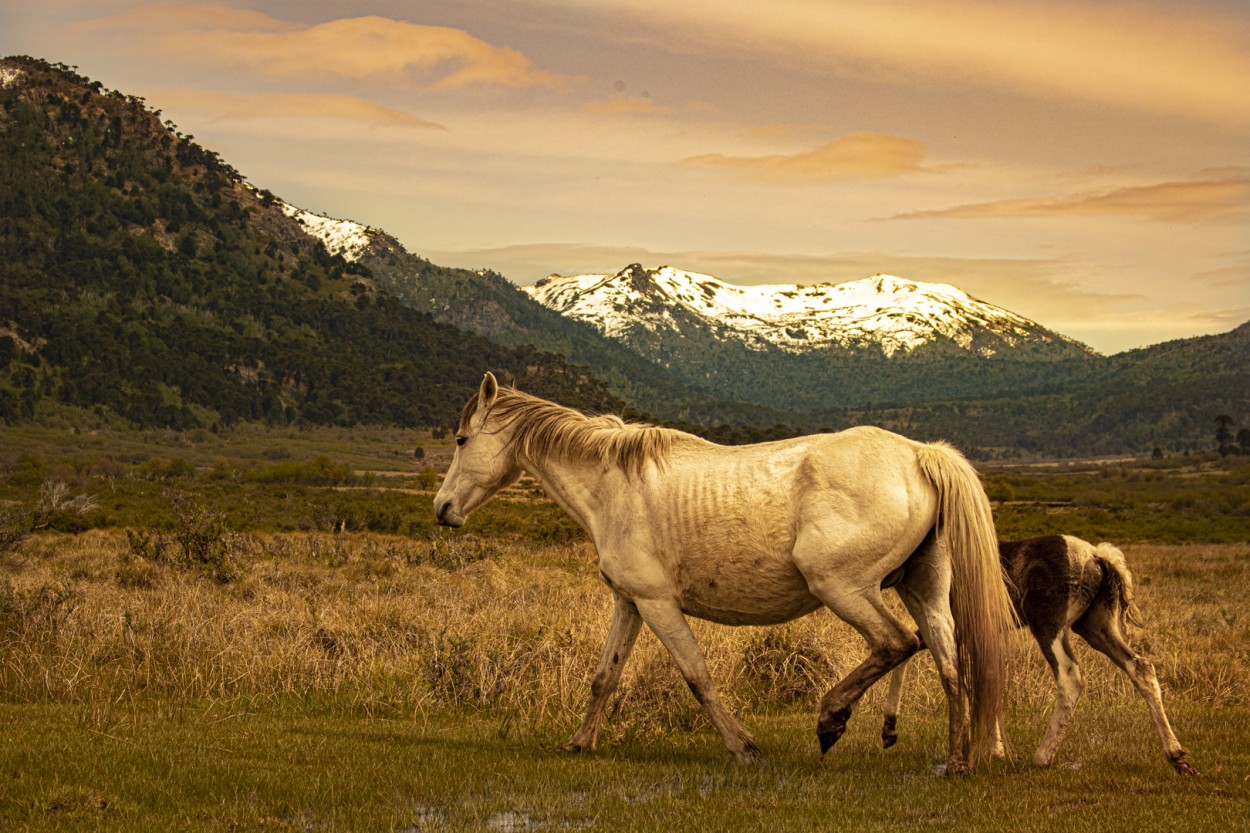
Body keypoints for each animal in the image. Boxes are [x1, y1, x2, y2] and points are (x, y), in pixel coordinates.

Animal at [432, 372, 1015, 770]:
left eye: (461, 440)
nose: (443, 509)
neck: (611, 486)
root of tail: (919, 455)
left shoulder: (658, 604)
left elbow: (697, 676)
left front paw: (743, 746)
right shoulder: (630, 602)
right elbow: (604, 677)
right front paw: (578, 743)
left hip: (842, 587)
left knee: (897, 643)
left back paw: (832, 720)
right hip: (923, 589)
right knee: (948, 661)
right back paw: (957, 758)